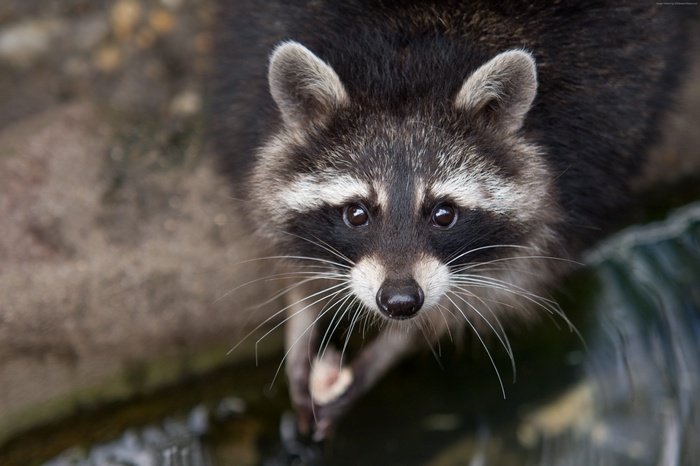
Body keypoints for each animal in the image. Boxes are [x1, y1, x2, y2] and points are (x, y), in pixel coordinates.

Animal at [212, 0, 692, 440]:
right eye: (357, 213)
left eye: (444, 214)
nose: (400, 302)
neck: (408, 61)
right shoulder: (246, 93)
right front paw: (302, 305)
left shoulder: (590, 152)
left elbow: (508, 281)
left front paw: (396, 345)